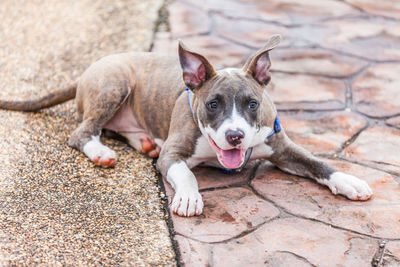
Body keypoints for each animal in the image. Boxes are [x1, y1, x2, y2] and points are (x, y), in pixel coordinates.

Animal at [1, 34, 374, 217]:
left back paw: (145, 142)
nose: (235, 136)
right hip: (114, 84)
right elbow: (186, 173)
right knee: (83, 131)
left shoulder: (282, 148)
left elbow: (317, 162)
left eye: (252, 104)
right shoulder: (175, 152)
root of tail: (88, 71)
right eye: (213, 104)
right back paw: (101, 152)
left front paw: (349, 181)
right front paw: (189, 198)